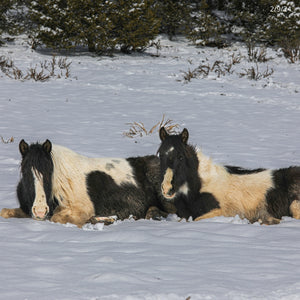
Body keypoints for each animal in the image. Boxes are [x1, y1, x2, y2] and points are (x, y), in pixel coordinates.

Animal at [0, 139, 173, 226]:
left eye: (49, 172)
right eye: (25, 172)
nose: (40, 210)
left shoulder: (80, 210)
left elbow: (56, 218)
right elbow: (4, 212)